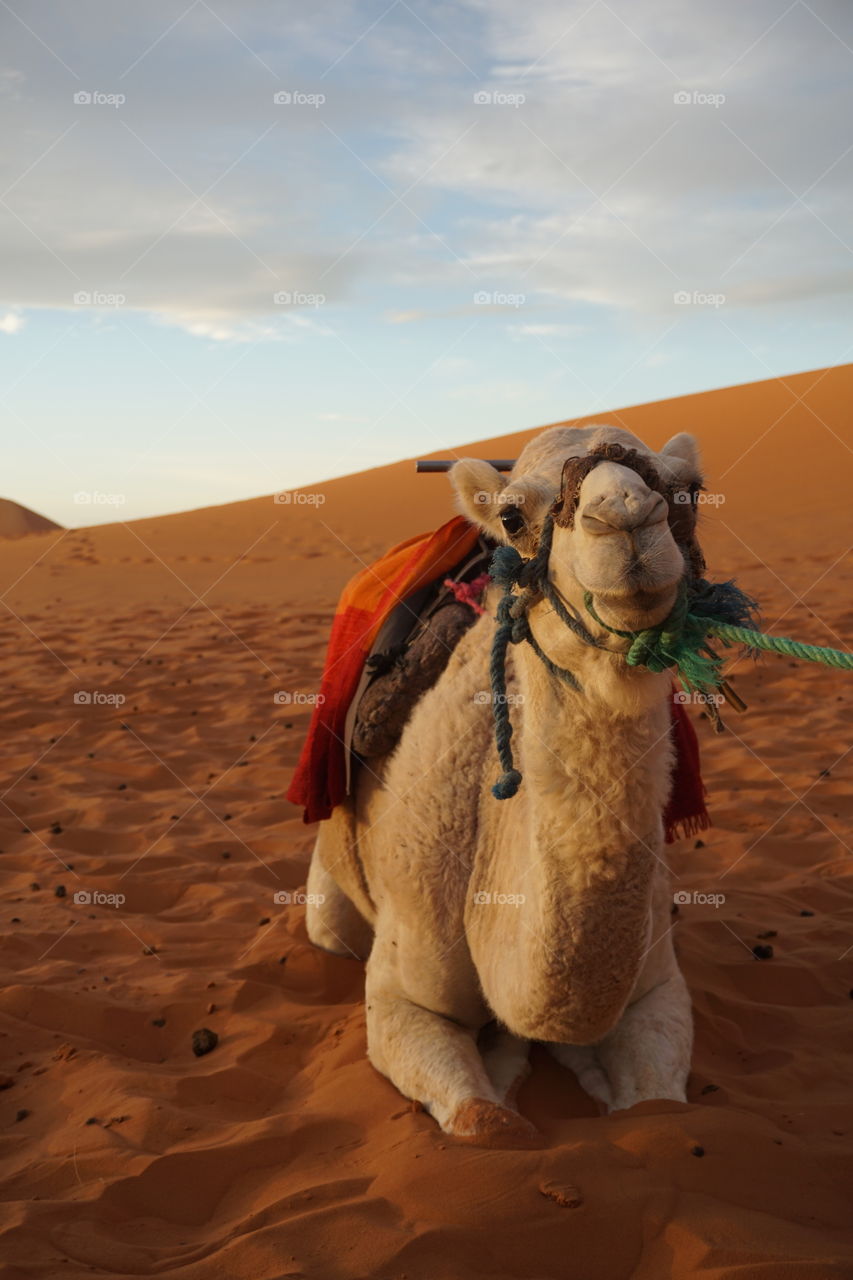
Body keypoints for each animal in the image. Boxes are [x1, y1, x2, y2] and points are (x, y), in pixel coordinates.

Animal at [305, 423, 702, 1147]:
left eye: (689, 490)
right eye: (514, 517)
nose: (625, 514)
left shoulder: (658, 985)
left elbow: (659, 1109)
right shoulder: (399, 993)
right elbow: (484, 1121)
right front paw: (505, 1072)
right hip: (330, 906)